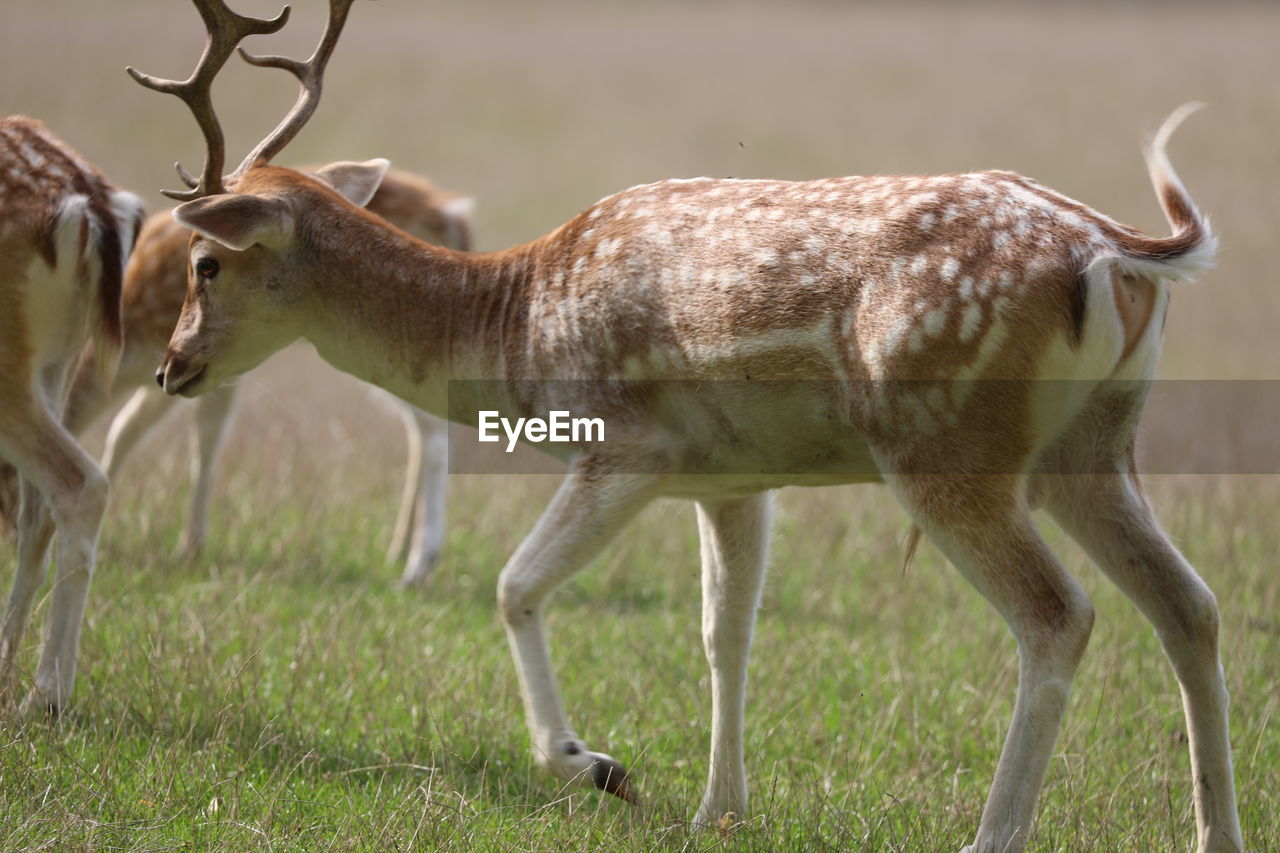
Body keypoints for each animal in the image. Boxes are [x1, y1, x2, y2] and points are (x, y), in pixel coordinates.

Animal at [1, 163, 471, 584]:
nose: (13, 536)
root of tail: (454, 215)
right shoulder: (182, 369)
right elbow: (132, 431)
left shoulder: (190, 361)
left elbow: (179, 433)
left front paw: (189, 547)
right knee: (421, 428)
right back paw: (400, 549)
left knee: (432, 431)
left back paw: (419, 563)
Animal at [124, 1, 1244, 850]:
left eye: (207, 263)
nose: (173, 365)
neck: (518, 319)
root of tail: (1116, 251)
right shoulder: (732, 478)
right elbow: (724, 630)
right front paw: (719, 810)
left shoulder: (626, 441)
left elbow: (514, 583)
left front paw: (594, 765)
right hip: (1093, 446)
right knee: (1188, 605)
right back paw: (1214, 835)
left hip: (946, 445)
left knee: (1060, 615)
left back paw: (991, 835)